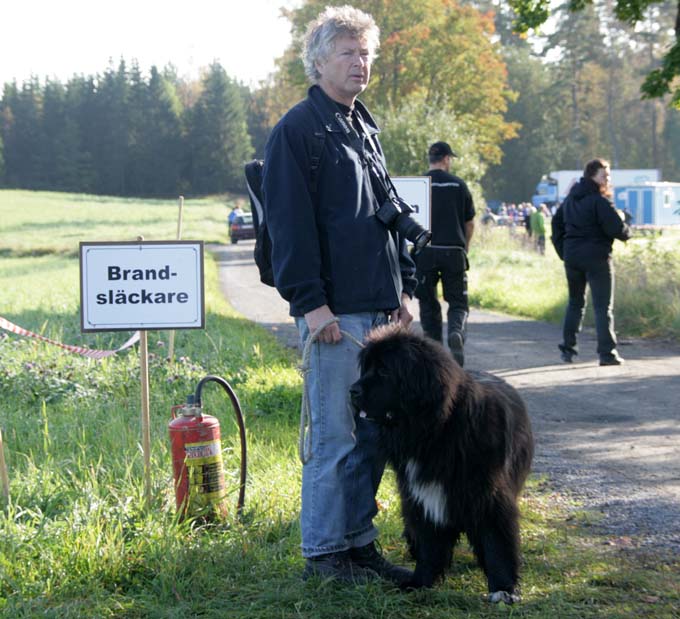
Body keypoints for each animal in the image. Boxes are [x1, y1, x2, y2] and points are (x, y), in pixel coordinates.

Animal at [350, 326, 536, 604]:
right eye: (367, 368)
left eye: (384, 371)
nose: (352, 390)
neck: (437, 431)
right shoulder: (422, 497)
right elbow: (429, 545)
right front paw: (419, 582)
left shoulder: (489, 498)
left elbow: (496, 542)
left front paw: (503, 588)